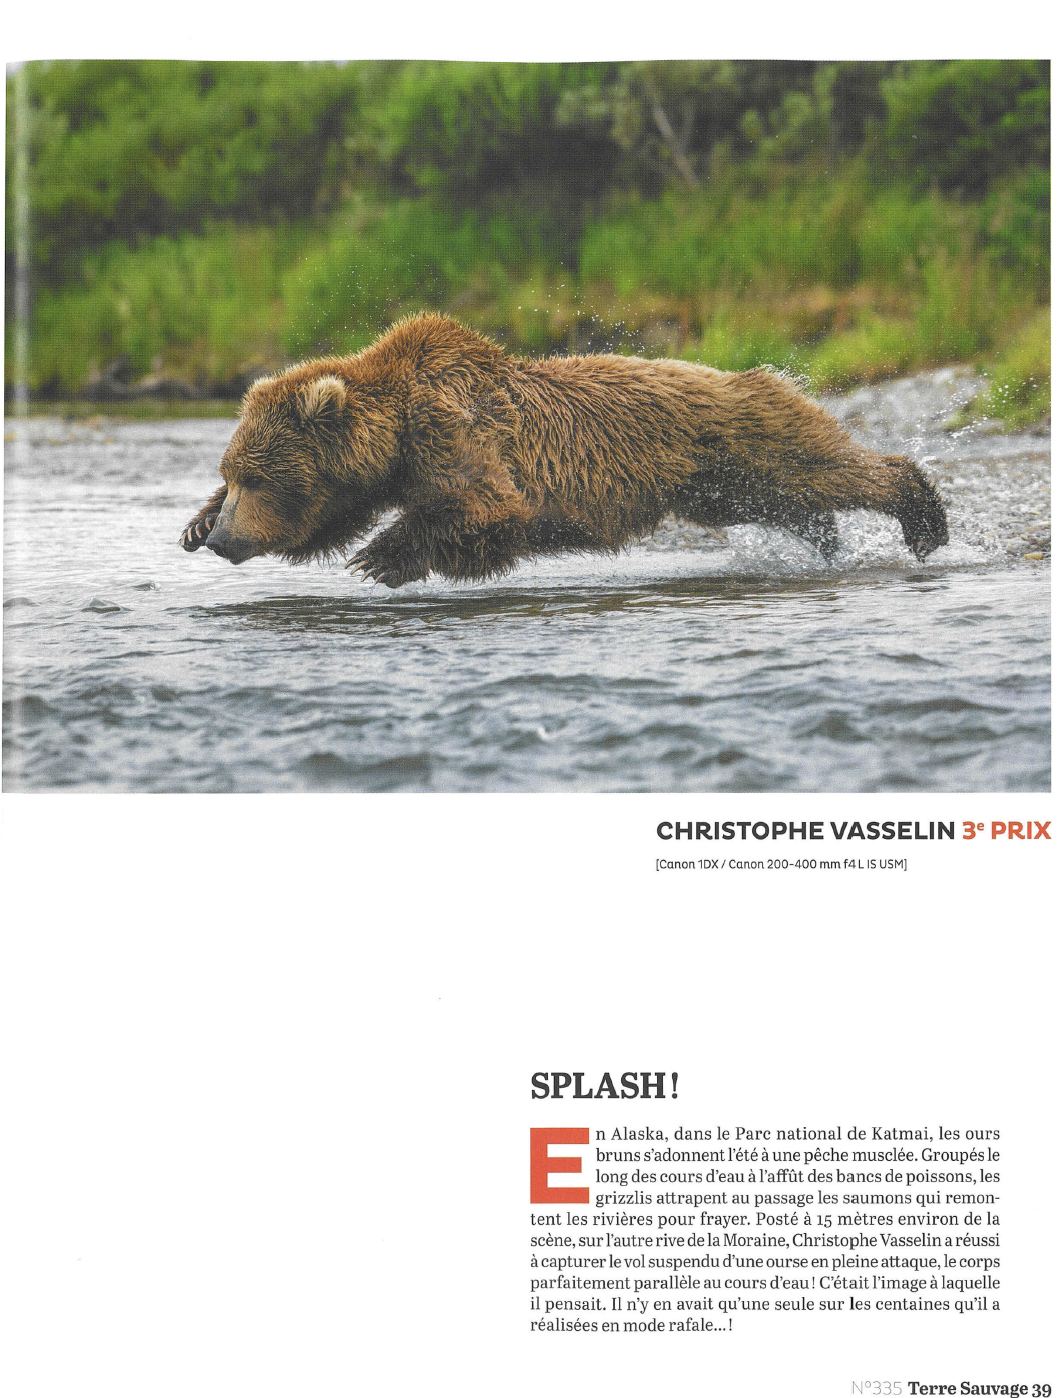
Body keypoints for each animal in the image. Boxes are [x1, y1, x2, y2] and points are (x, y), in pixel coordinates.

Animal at [180, 312, 948, 585]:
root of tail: (762, 373)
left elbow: (488, 505)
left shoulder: (453, 430)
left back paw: (924, 518)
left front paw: (383, 557)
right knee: (785, 501)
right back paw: (826, 540)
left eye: (258, 476)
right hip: (714, 480)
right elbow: (332, 517)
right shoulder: (375, 475)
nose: (223, 539)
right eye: (231, 471)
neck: (396, 434)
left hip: (746, 432)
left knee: (828, 468)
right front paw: (191, 521)